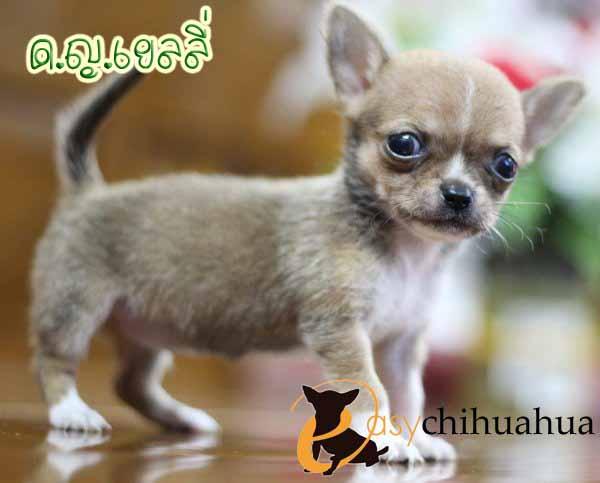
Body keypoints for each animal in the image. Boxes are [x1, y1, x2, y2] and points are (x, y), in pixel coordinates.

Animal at [29, 3, 585, 463]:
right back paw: (71, 413)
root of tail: (88, 190)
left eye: (506, 166)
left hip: (147, 330)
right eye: (404, 144)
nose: (458, 193)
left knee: (131, 382)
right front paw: (386, 438)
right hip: (75, 308)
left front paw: (415, 436)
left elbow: (410, 393)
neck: (406, 252)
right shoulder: (341, 329)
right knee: (54, 361)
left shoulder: (403, 344)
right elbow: (371, 387)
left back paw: (181, 418)